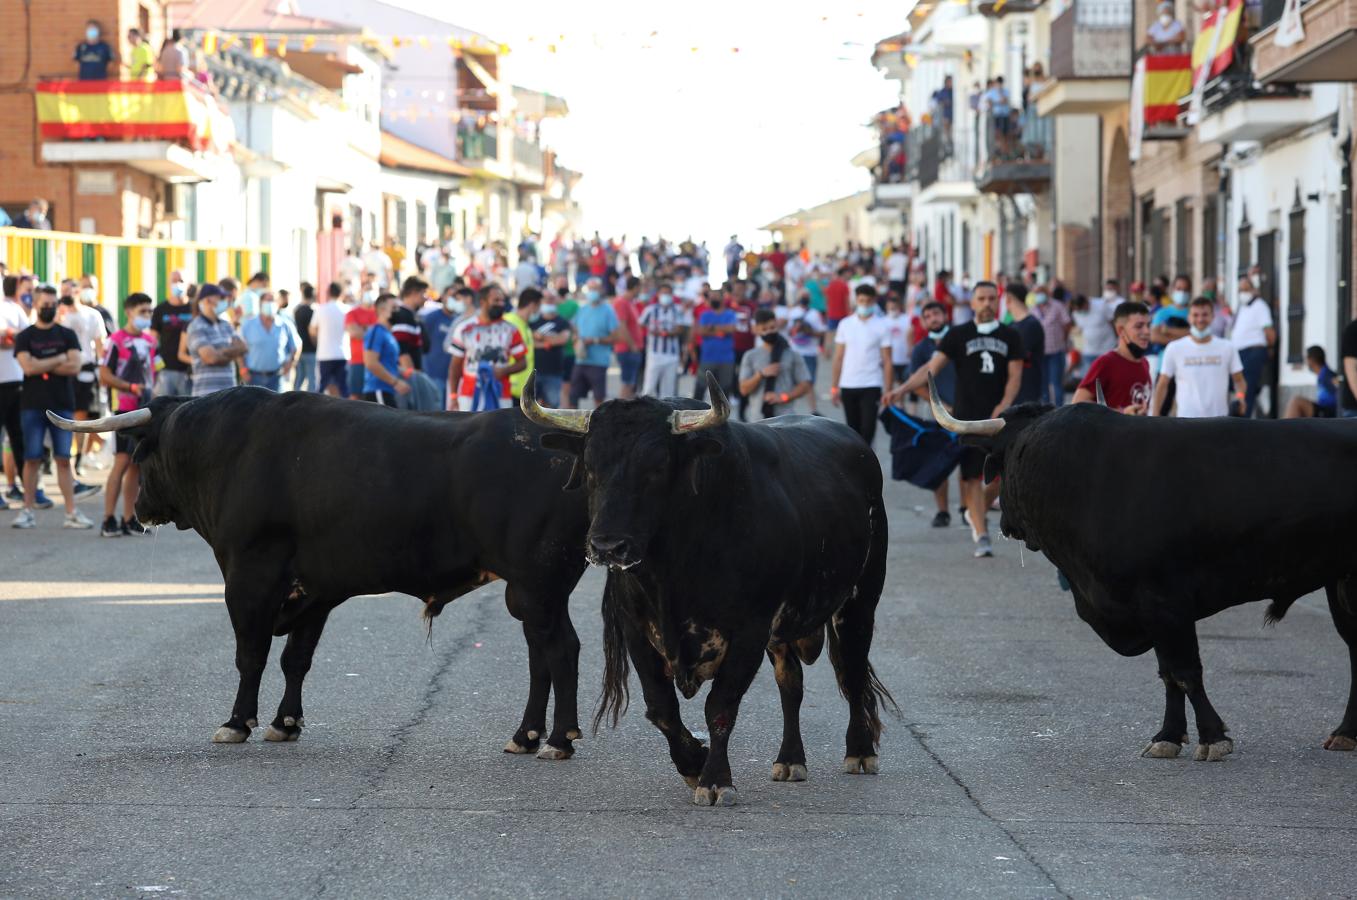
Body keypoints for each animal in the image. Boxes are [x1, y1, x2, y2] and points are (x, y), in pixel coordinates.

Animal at [51, 388, 594, 760]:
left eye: (145, 456)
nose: (139, 508)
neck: (230, 447)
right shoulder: (315, 591)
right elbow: (296, 659)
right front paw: (286, 722)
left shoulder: (249, 579)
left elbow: (250, 656)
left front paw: (238, 722)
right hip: (531, 591)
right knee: (540, 655)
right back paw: (525, 736)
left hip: (538, 585)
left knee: (562, 649)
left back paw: (558, 739)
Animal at [518, 371, 901, 809]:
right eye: (591, 465)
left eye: (657, 466)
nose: (607, 546)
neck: (673, 570)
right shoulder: (638, 631)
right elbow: (661, 707)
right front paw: (692, 763)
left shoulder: (749, 629)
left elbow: (721, 706)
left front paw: (716, 780)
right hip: (784, 632)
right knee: (791, 686)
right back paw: (790, 759)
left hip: (860, 603)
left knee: (852, 672)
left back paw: (860, 751)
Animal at [928, 371, 1357, 760]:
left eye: (1001, 462)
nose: (1005, 524)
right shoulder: (1148, 610)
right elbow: (1168, 674)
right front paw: (1168, 736)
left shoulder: (1166, 602)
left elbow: (1185, 671)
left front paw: (1212, 737)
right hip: (1340, 584)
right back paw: (1346, 733)